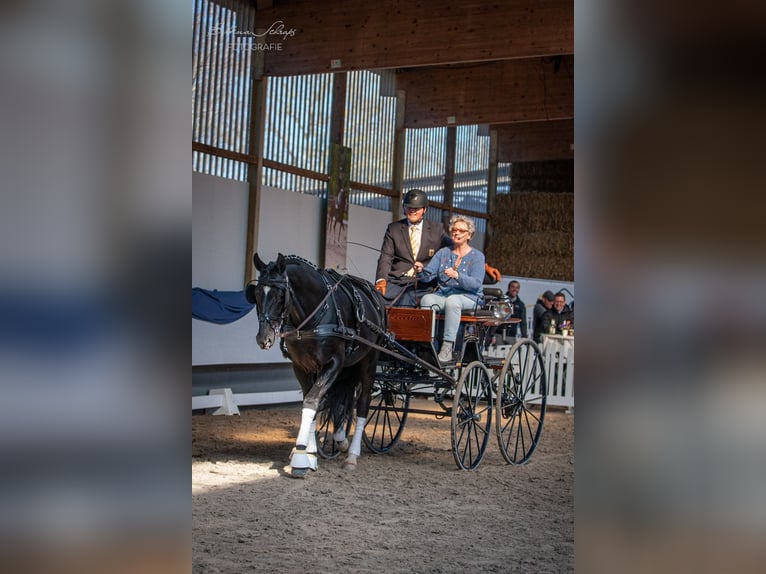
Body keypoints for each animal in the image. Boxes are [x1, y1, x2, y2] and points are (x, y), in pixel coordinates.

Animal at [248, 254, 388, 480]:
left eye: (280, 295)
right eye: (257, 294)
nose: (264, 339)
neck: (313, 318)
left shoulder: (334, 363)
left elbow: (313, 400)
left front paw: (300, 457)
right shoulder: (301, 366)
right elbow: (311, 402)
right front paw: (310, 454)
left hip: (369, 360)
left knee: (363, 402)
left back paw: (352, 455)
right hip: (350, 366)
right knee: (343, 400)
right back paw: (340, 439)